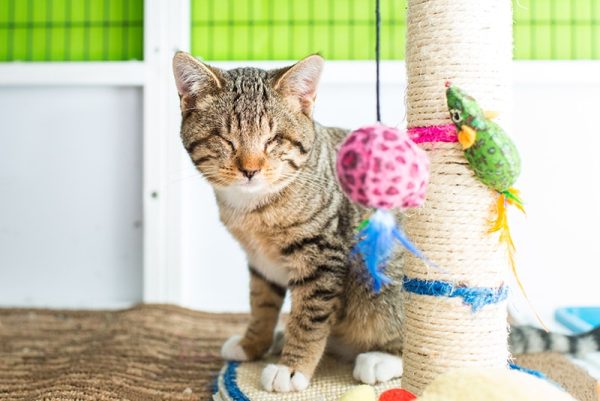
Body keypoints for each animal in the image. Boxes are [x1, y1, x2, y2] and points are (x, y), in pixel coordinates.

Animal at [171, 51, 596, 392]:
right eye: (224, 139)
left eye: (273, 140)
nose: (250, 169)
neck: (254, 207)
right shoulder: (260, 264)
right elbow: (261, 304)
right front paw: (253, 343)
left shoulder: (323, 255)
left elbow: (309, 317)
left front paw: (292, 368)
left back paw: (380, 358)